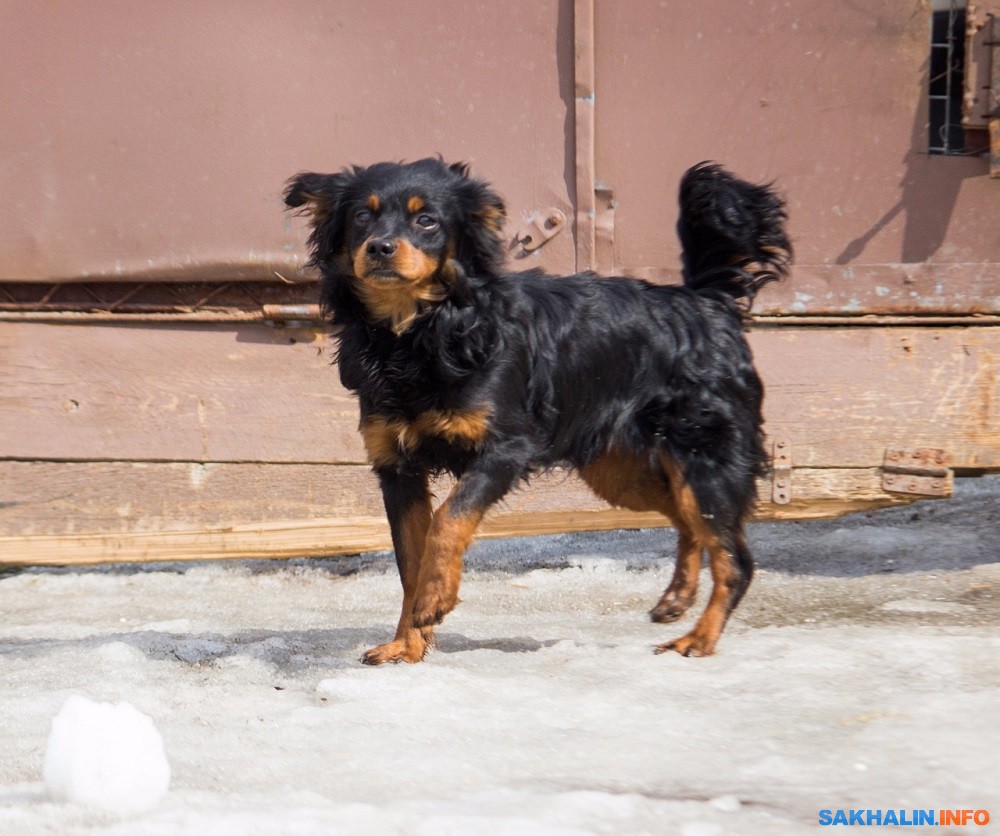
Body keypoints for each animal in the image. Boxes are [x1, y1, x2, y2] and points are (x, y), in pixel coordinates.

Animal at [286, 158, 792, 668]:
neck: (417, 332)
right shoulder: (397, 468)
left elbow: (447, 521)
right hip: (620, 472)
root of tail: (706, 300)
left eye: (426, 220)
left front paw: (436, 599)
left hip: (703, 459)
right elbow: (410, 563)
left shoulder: (506, 449)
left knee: (735, 559)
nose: (380, 247)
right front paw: (408, 645)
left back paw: (699, 638)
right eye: (361, 218)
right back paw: (676, 599)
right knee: (687, 523)